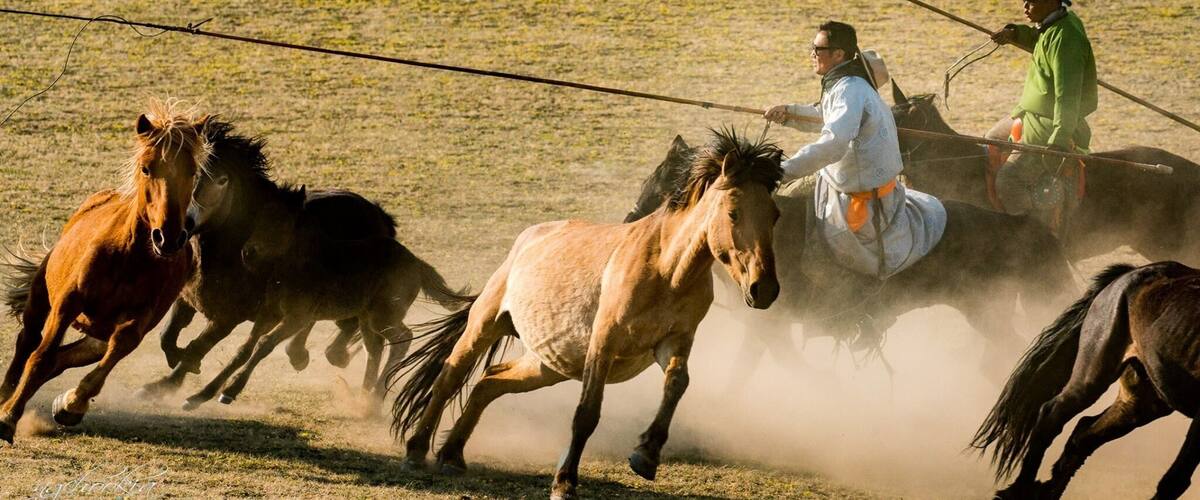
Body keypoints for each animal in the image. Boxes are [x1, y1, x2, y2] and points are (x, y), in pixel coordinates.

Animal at [0, 101, 209, 443]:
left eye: (193, 171)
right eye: (147, 168)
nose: (167, 238)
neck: (128, 258)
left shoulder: (136, 323)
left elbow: (107, 360)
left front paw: (72, 404)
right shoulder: (67, 305)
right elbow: (40, 358)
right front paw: (8, 418)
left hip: (98, 333)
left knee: (67, 357)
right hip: (40, 300)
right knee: (28, 343)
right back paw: (6, 396)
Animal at [134, 119, 401, 406]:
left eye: (222, 180)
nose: (182, 227)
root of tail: (379, 215)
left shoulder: (228, 318)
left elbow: (198, 346)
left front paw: (168, 384)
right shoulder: (187, 299)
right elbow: (168, 337)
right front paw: (170, 375)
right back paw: (301, 354)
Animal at [179, 183, 469, 411]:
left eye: (281, 222)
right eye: (260, 217)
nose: (248, 253)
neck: (298, 265)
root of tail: (418, 264)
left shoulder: (297, 318)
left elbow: (263, 345)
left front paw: (230, 392)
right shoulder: (269, 313)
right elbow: (244, 349)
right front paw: (199, 396)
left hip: (383, 317)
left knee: (402, 339)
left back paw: (374, 397)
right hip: (367, 319)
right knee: (375, 347)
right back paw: (363, 398)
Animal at [389, 128, 784, 500]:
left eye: (775, 215)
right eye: (733, 212)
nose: (764, 289)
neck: (666, 270)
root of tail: (529, 237)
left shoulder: (674, 342)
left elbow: (677, 384)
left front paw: (646, 454)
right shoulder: (604, 343)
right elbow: (587, 413)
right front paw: (564, 483)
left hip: (548, 363)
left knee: (490, 381)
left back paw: (452, 455)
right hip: (486, 325)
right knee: (450, 378)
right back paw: (416, 451)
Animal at [973, 262, 1200, 499]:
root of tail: (1129, 274)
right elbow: (1176, 479)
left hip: (1141, 402)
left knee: (1084, 434)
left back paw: (1048, 491)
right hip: (1093, 374)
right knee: (1052, 414)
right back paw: (1022, 490)